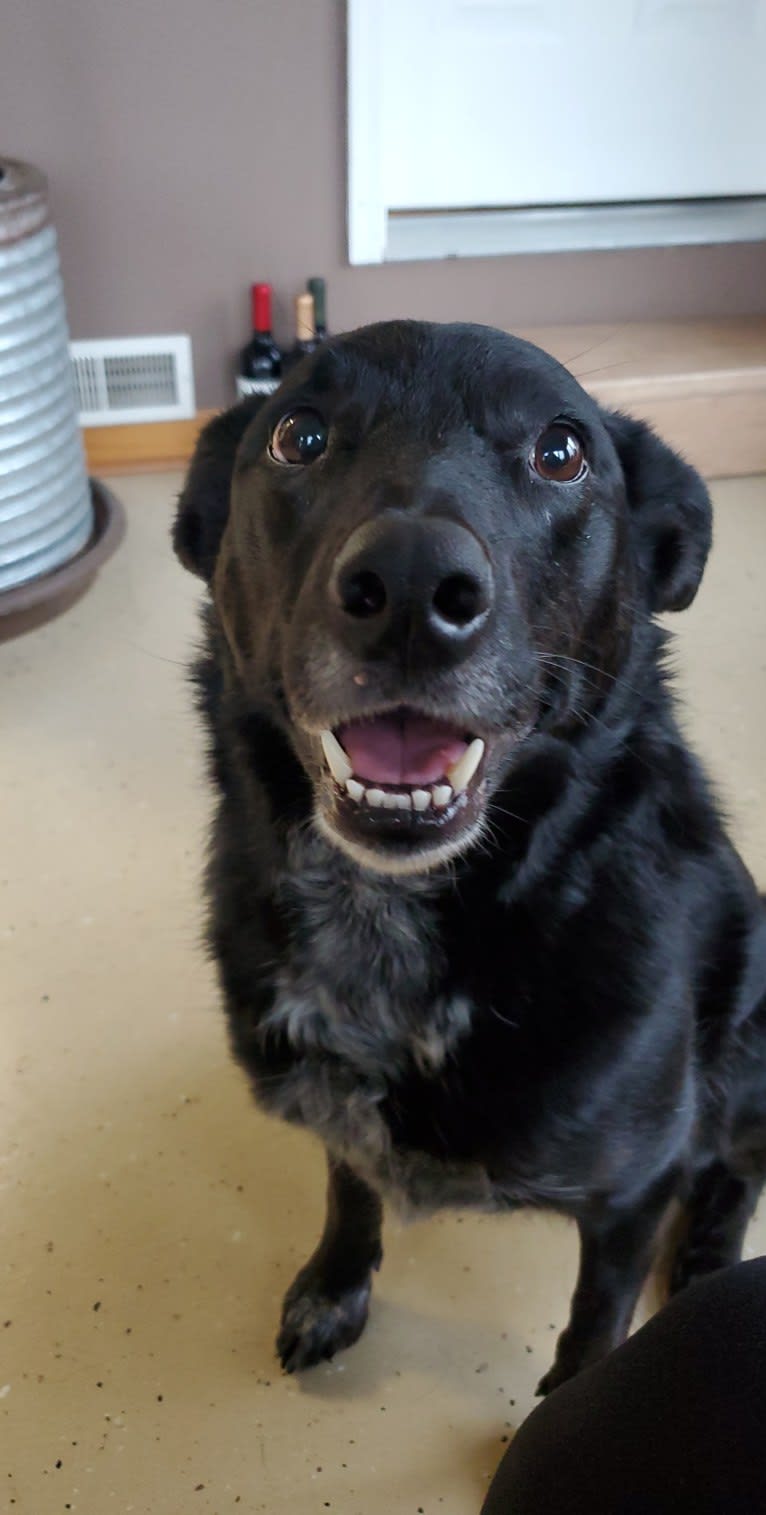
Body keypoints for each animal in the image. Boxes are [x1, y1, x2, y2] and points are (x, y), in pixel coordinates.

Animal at [173, 325, 766, 1387]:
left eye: (561, 452)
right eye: (299, 434)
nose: (411, 586)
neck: (387, 921)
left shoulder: (633, 1190)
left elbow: (595, 1321)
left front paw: (567, 1400)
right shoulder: (340, 1109)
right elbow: (350, 1186)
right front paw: (336, 1283)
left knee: (736, 1169)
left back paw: (708, 1253)